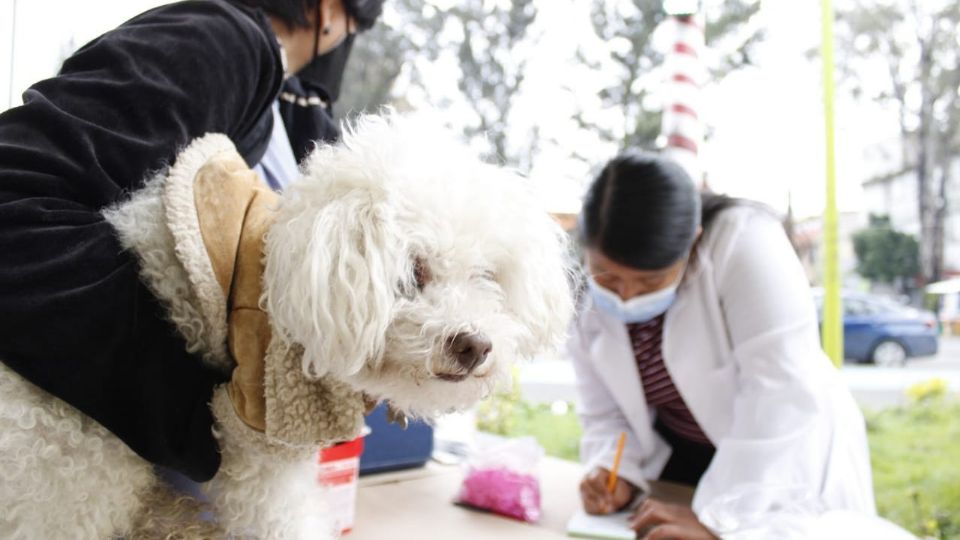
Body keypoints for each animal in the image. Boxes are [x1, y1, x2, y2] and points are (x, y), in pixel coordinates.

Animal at [0, 112, 572, 536]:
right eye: (413, 272)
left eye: (487, 276)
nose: (474, 345)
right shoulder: (254, 423)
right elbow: (278, 514)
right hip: (79, 458)